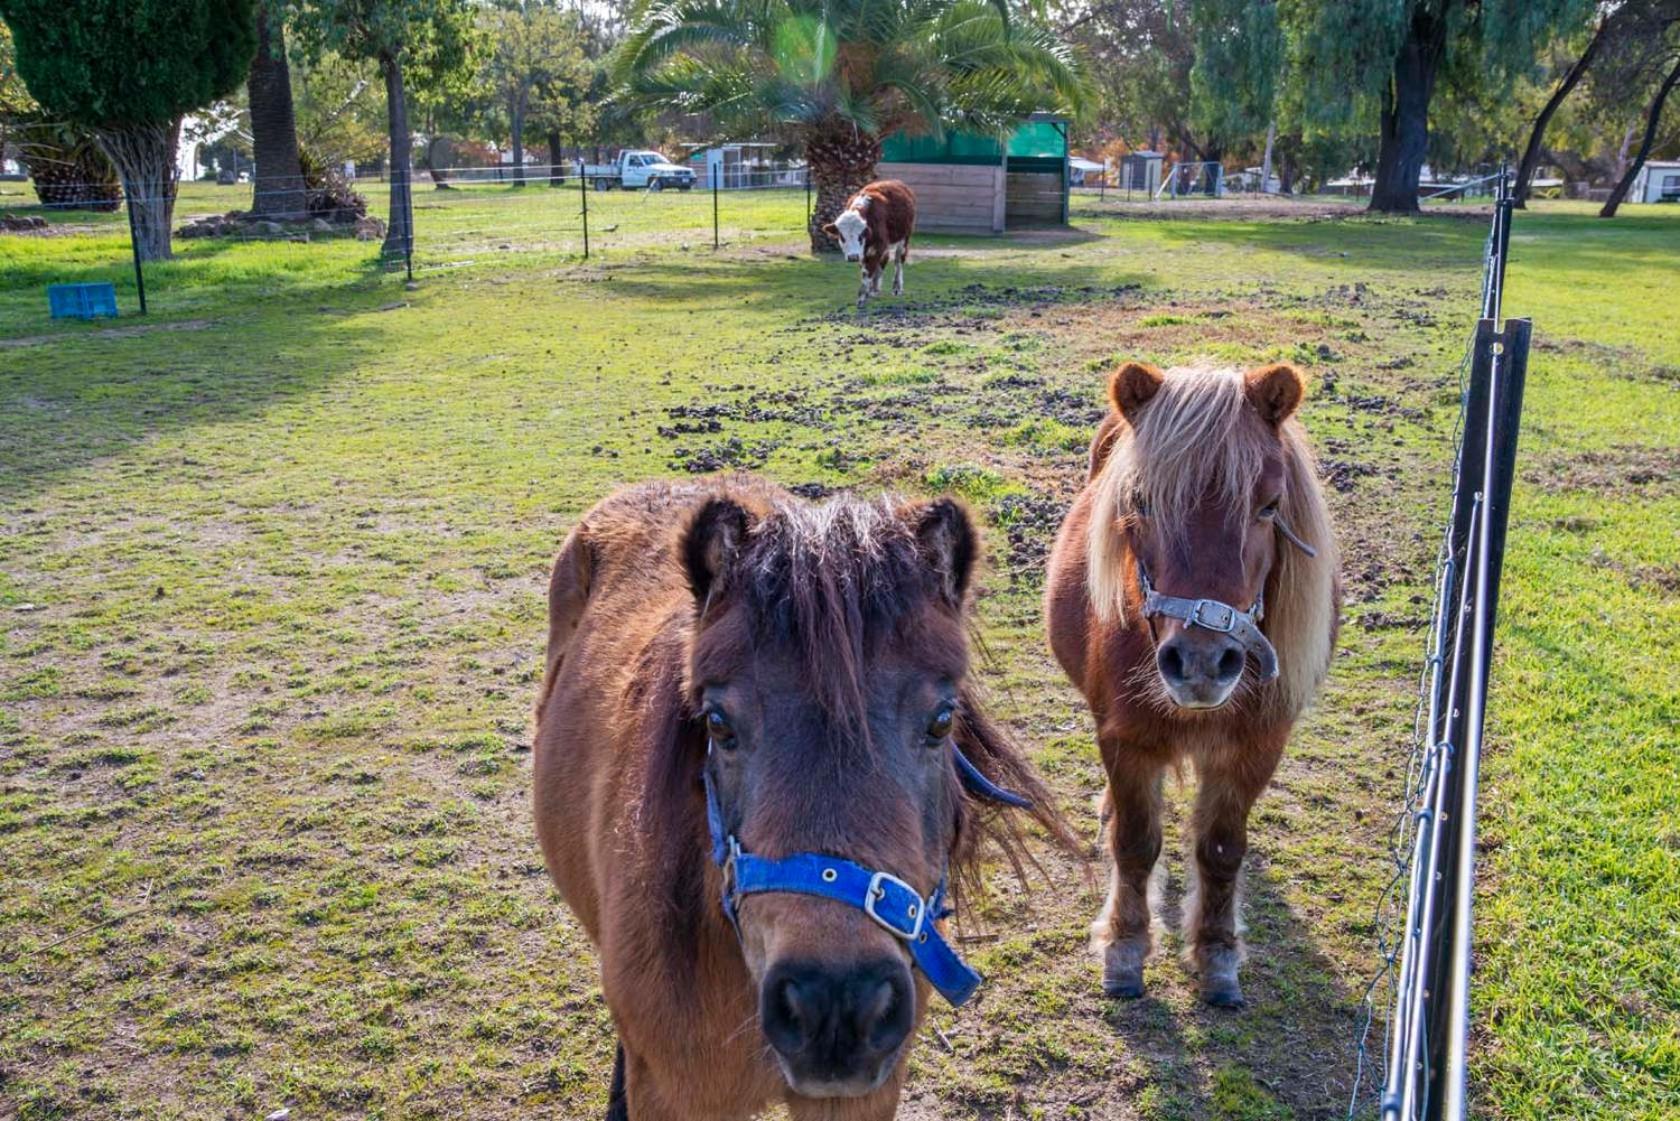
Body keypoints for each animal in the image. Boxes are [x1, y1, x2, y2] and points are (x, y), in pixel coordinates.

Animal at [816, 180, 913, 310]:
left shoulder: (876, 248)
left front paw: (862, 297)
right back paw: (874, 289)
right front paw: (868, 291)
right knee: (884, 260)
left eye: (861, 235)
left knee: (898, 262)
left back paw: (896, 287)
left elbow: (868, 271)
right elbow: (867, 270)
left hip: (904, 239)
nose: (853, 257)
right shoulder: (863, 253)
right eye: (842, 236)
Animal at [1048, 359, 1337, 1008]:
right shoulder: (1125, 742)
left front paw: (1217, 955)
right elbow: (1135, 845)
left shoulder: (1255, 750)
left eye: (1269, 506)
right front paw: (1125, 948)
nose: (1202, 662)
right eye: (1141, 501)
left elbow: (1222, 851)